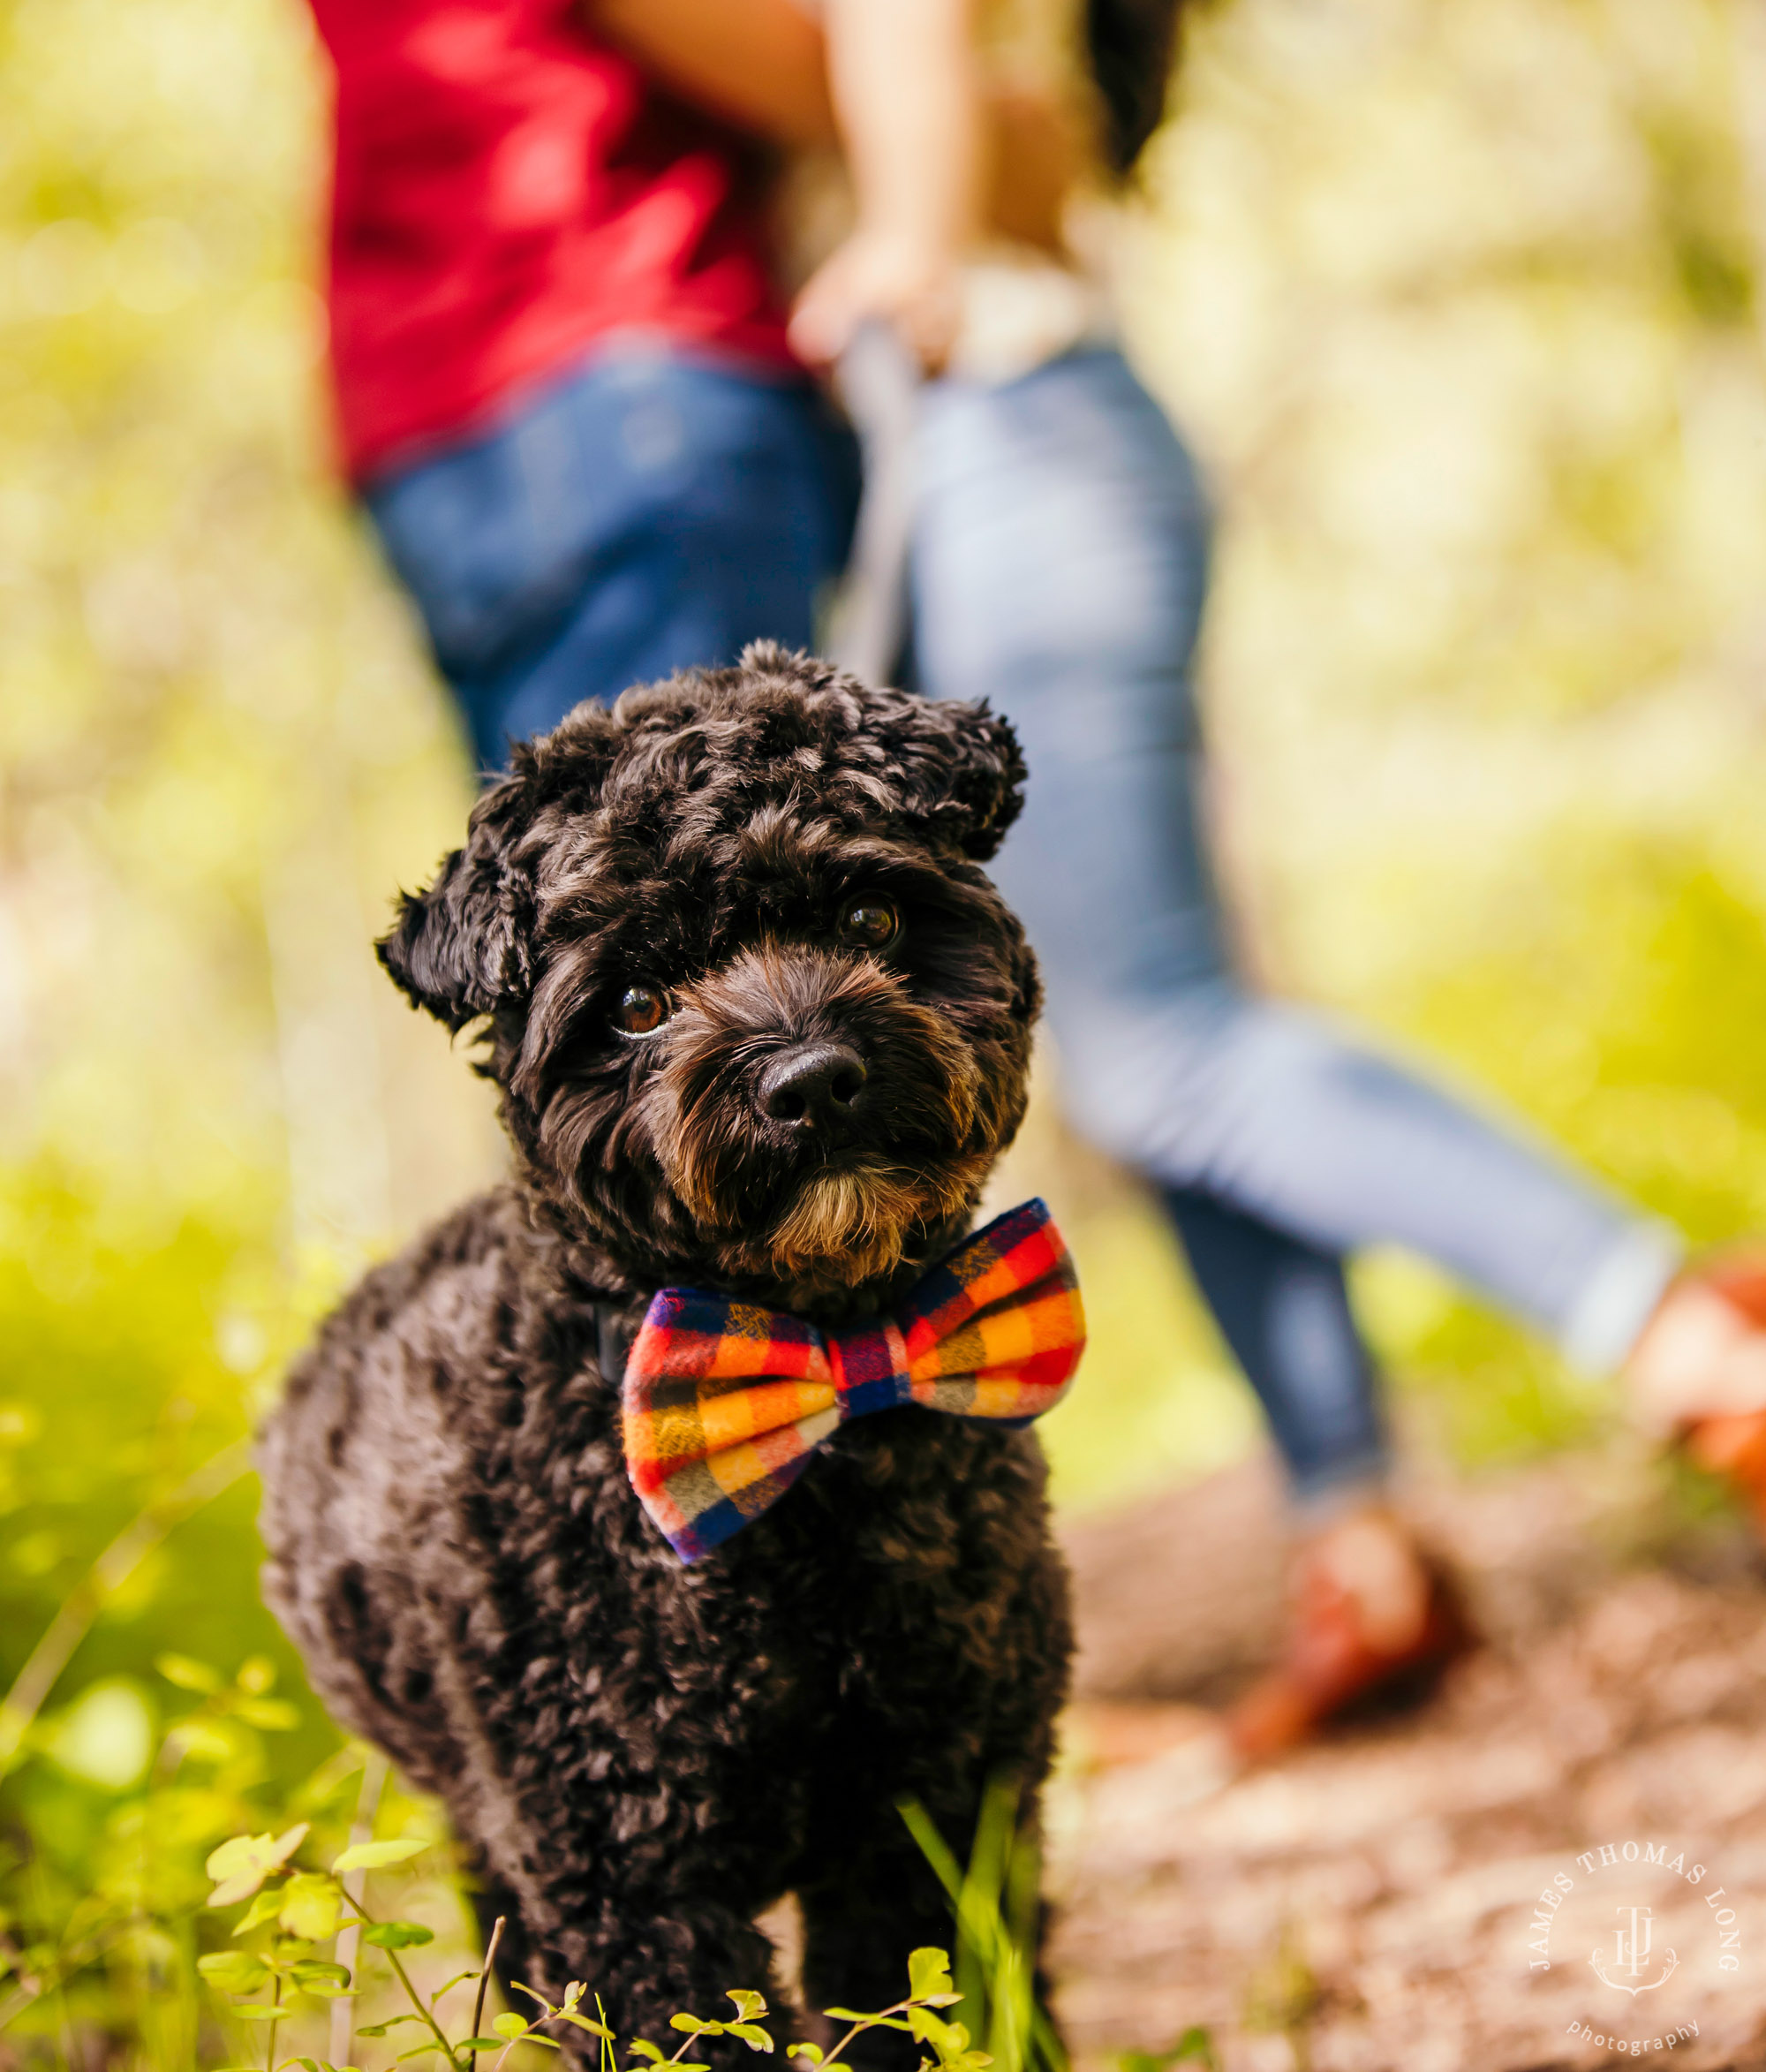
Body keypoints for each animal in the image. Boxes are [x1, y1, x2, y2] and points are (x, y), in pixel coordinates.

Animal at [254, 642, 1068, 2055]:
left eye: (868, 919)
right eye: (636, 1002)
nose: (811, 1077)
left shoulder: (949, 1797)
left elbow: (943, 2003)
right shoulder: (624, 1884)